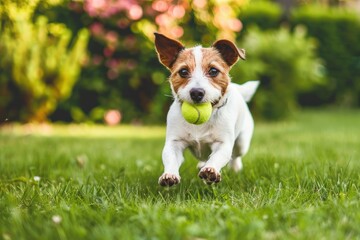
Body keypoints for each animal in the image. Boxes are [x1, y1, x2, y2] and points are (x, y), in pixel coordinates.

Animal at [153, 32, 258, 186]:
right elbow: (170, 157)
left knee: (236, 155)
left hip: (242, 142)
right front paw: (169, 174)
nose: (197, 92)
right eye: (183, 71)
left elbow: (218, 156)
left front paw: (211, 170)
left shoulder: (223, 143)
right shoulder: (174, 142)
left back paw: (235, 168)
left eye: (213, 71)